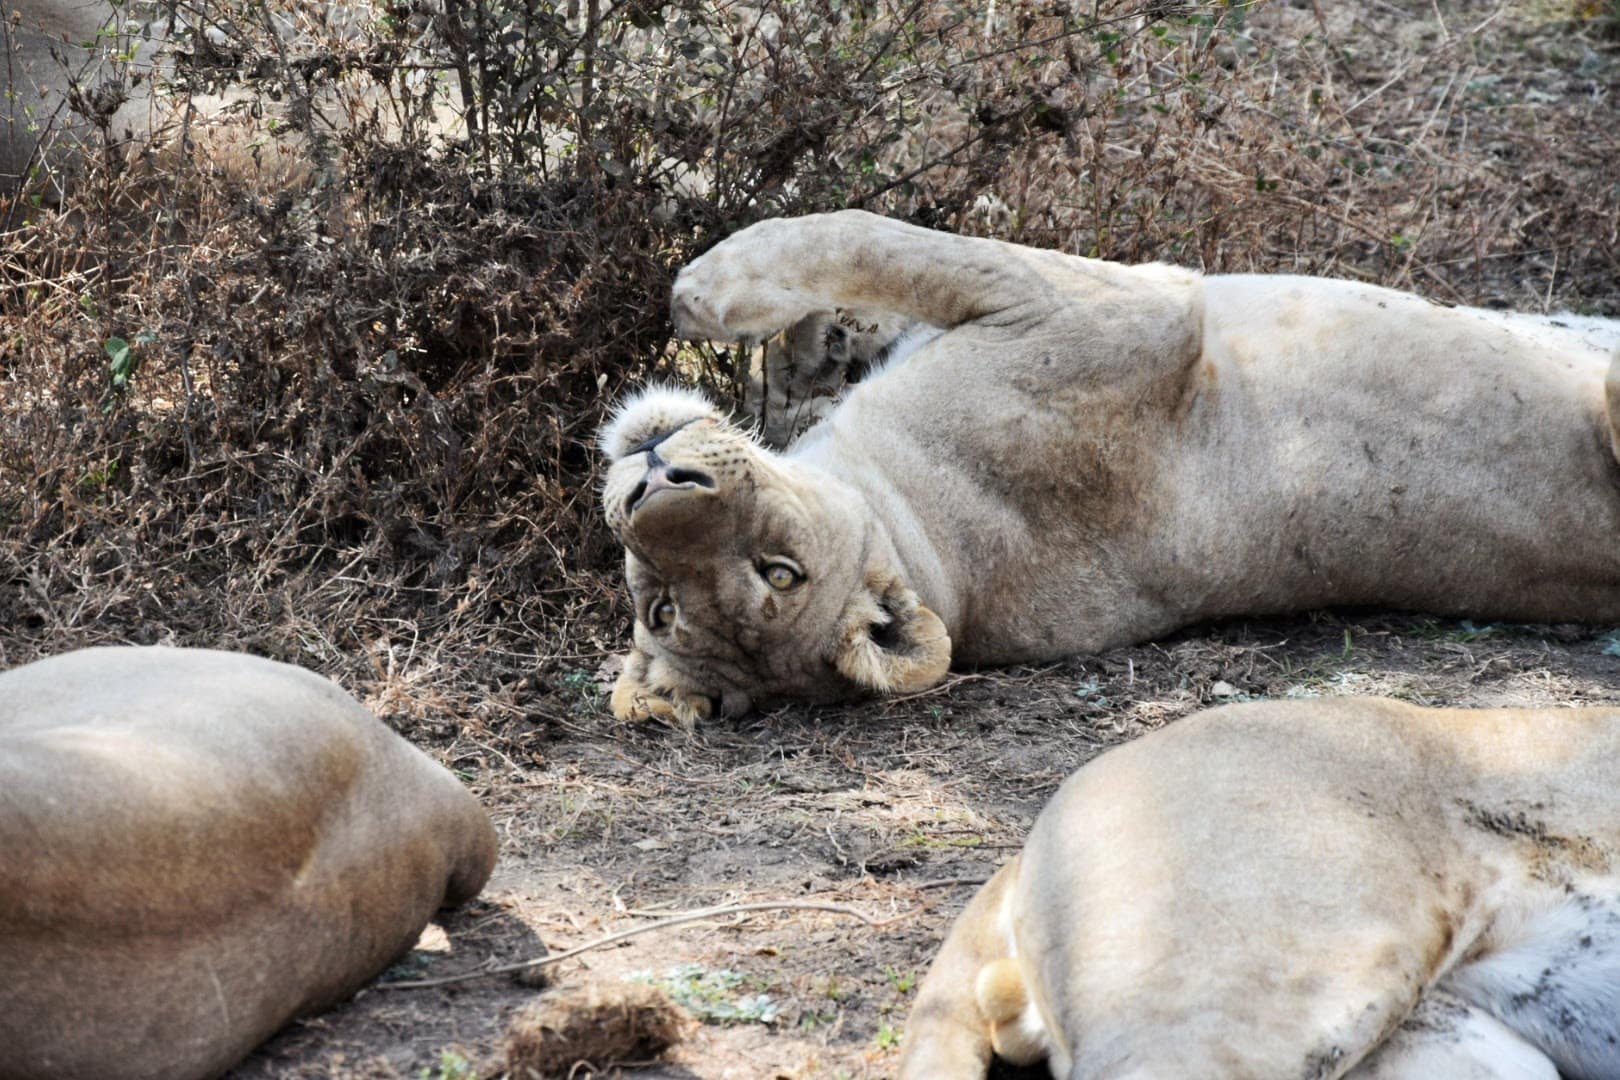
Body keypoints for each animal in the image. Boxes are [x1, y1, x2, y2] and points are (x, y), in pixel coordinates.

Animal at [599, 208, 1620, 725]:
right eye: (665, 606)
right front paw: (727, 299)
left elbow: (863, 241)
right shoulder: (1114, 309)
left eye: (780, 571)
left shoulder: (1113, 308)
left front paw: (747, 311)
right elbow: (870, 235)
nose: (652, 480)